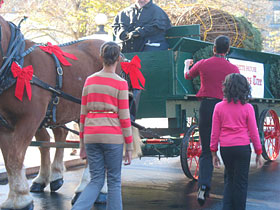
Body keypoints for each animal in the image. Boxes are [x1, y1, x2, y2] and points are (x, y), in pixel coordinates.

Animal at [0, 15, 124, 209]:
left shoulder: (30, 120)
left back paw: (92, 190)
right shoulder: (5, 124)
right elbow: (10, 159)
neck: (16, 65)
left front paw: (21, 199)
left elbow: (15, 156)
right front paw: (14, 198)